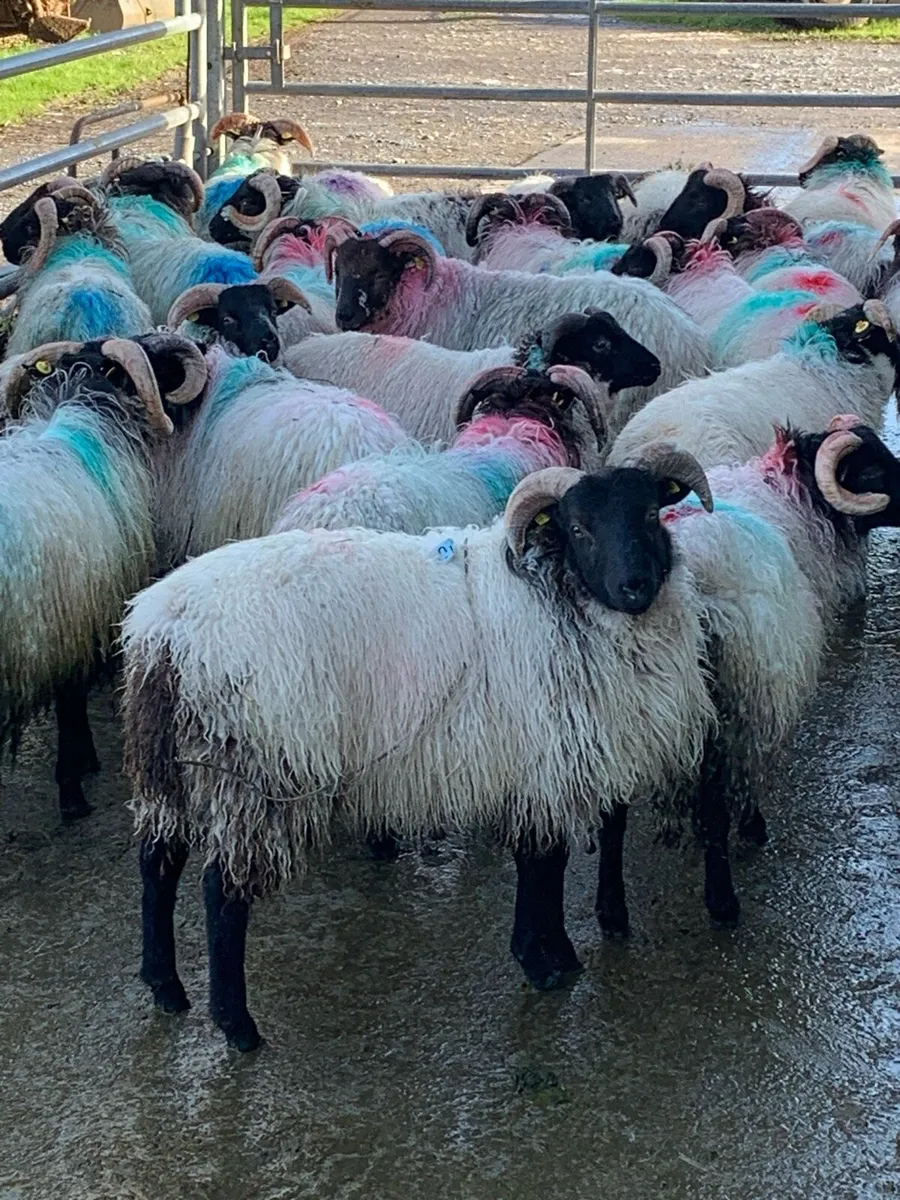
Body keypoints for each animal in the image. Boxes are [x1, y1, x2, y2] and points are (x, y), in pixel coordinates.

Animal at [122, 442, 717, 1049]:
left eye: (651, 513)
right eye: (578, 527)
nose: (635, 586)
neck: (555, 593)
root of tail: (163, 629)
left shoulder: (536, 768)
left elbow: (541, 861)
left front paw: (551, 955)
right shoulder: (541, 760)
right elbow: (544, 862)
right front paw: (546, 962)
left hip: (170, 767)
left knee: (157, 864)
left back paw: (164, 986)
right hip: (258, 771)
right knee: (221, 892)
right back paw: (236, 1025)